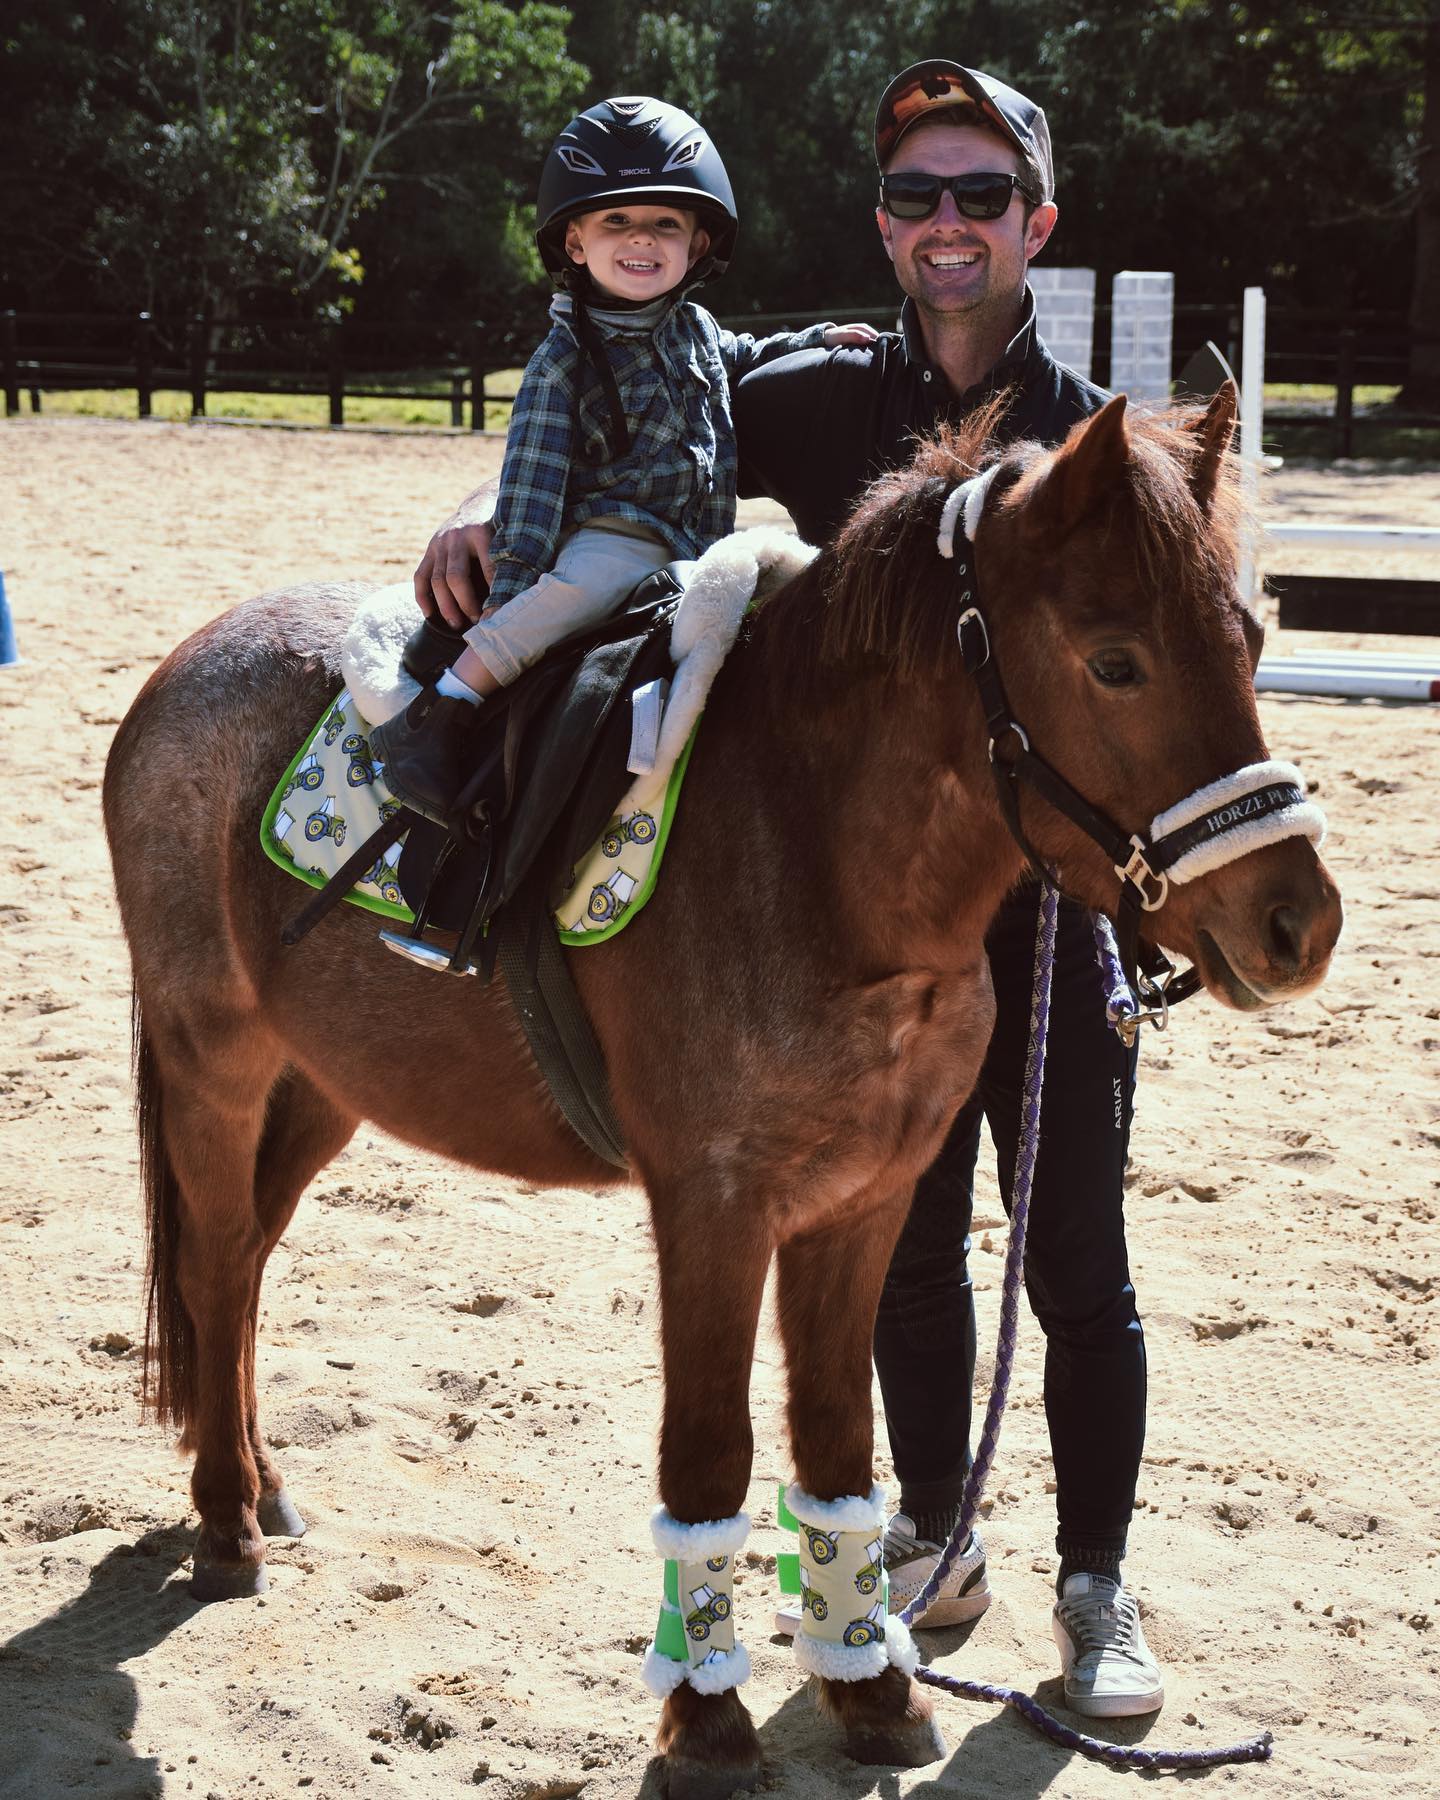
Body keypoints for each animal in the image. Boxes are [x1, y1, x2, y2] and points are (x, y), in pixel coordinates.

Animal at [103, 387, 1353, 1792]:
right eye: (1117, 661)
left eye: (1252, 640)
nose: (1298, 921)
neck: (813, 852)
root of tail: (189, 667)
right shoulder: (711, 1209)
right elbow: (710, 1457)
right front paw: (706, 1719)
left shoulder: (862, 1205)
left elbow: (839, 1447)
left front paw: (869, 1687)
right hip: (214, 1062)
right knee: (215, 1263)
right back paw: (224, 1521)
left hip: (323, 1081)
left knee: (249, 1265)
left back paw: (259, 1482)